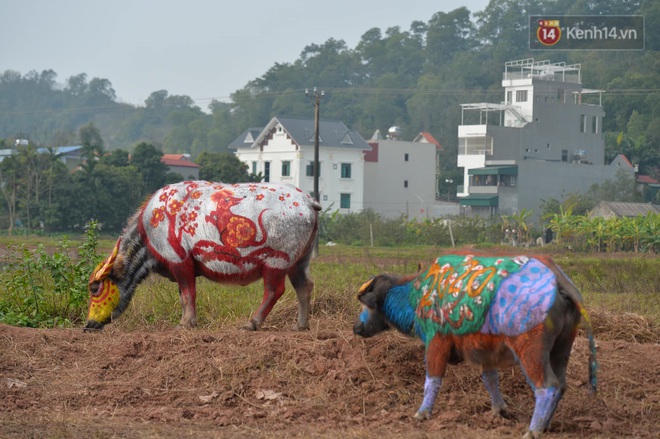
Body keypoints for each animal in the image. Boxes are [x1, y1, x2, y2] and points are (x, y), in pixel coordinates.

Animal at [85, 180, 322, 332]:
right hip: (298, 263)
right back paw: (301, 325)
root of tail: (307, 201)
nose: (88, 325)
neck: (149, 231)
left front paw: (186, 323)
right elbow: (183, 296)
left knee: (274, 290)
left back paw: (251, 323)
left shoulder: (180, 262)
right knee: (304, 286)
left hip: (277, 262)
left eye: (94, 288)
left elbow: (188, 294)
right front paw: (186, 320)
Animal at [356, 253, 600, 438]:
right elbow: (490, 378)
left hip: (532, 352)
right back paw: (546, 425)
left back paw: (533, 431)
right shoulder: (485, 352)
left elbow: (432, 380)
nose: (356, 327)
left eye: (367, 305)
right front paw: (499, 410)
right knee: (561, 384)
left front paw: (422, 413)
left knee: (548, 386)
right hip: (561, 348)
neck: (419, 294)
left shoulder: (436, 342)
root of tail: (558, 282)